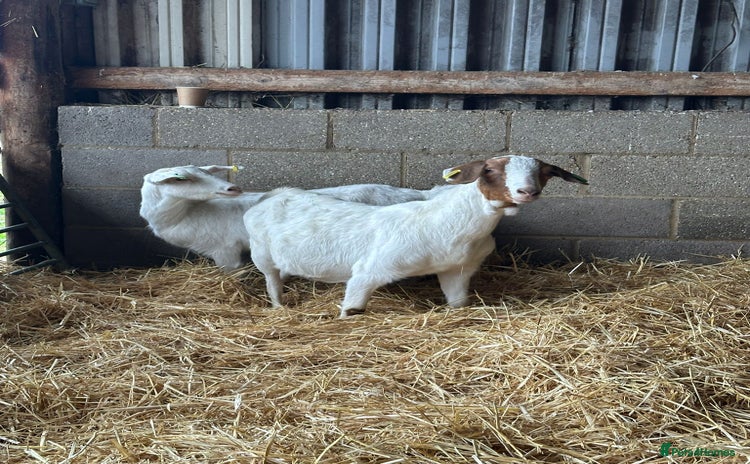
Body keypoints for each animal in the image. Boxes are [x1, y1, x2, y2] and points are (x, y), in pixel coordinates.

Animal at [243, 155, 588, 317]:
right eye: (490, 170)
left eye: (543, 172)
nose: (527, 191)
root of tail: (275, 195)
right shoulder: (370, 271)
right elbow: (352, 306)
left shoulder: (457, 271)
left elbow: (457, 301)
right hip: (262, 255)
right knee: (272, 282)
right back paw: (278, 305)